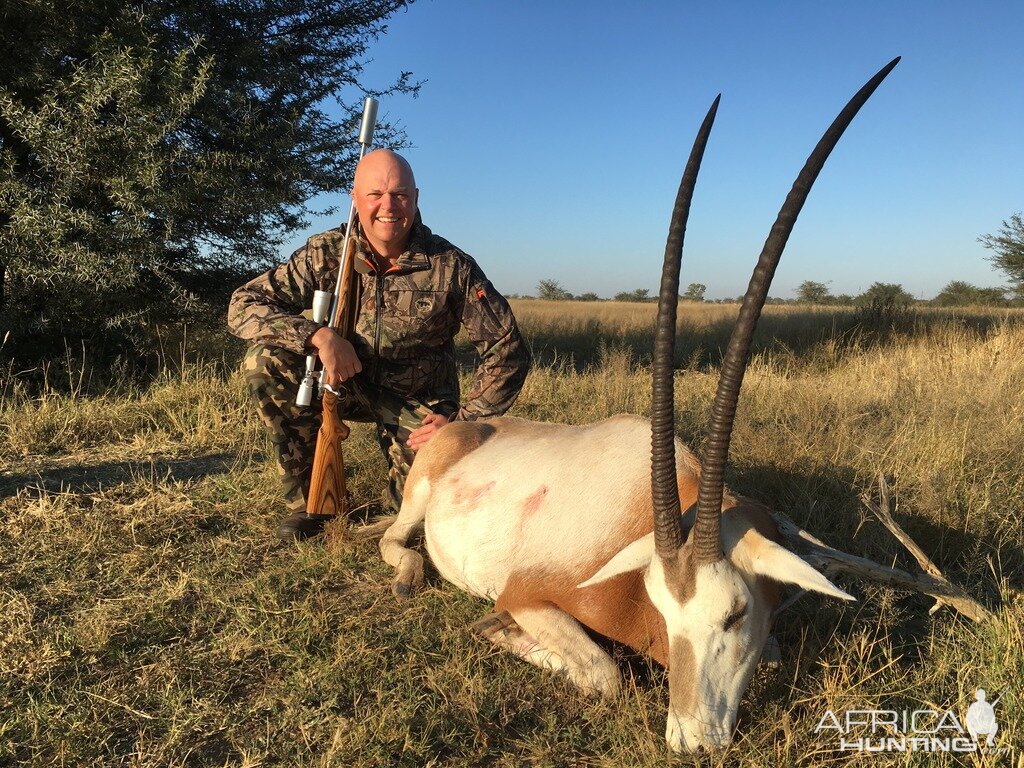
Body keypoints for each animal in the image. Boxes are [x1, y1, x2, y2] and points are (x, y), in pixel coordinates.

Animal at [374, 57, 983, 753]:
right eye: (664, 610)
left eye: (737, 613)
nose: (691, 738)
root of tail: (464, 429)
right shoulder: (527, 593)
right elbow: (606, 674)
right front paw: (501, 632)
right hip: (417, 498)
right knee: (393, 538)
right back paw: (408, 570)